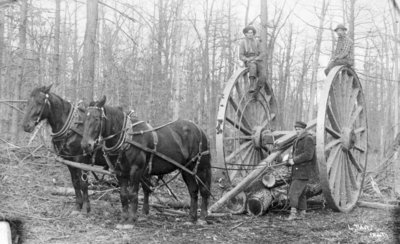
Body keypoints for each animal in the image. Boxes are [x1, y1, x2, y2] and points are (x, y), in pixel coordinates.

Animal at [21, 85, 104, 214]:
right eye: (28, 102)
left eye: (40, 102)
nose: (26, 126)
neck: (71, 128)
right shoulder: (69, 160)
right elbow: (75, 182)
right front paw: (78, 205)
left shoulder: (81, 160)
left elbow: (83, 183)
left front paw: (86, 208)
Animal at [81, 96, 212, 229]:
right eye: (84, 119)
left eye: (96, 118)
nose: (86, 145)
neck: (128, 137)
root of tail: (200, 130)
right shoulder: (120, 172)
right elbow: (123, 194)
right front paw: (124, 218)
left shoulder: (136, 169)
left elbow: (133, 193)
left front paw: (131, 220)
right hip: (186, 169)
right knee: (193, 190)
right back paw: (191, 218)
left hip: (200, 167)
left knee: (204, 190)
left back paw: (202, 217)